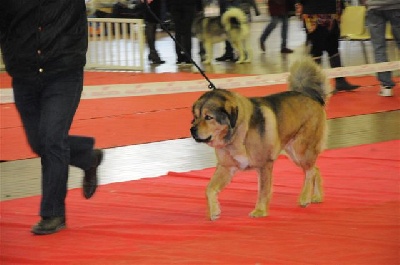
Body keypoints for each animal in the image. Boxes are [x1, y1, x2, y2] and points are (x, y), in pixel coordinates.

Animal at [191, 57, 332, 221]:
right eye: (195, 117)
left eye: (208, 117)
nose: (192, 130)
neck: (239, 132)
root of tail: (312, 96)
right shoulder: (226, 167)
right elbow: (209, 188)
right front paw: (214, 211)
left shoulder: (264, 165)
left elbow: (263, 191)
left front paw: (259, 211)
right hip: (294, 152)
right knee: (315, 169)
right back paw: (316, 197)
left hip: (301, 150)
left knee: (309, 172)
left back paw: (304, 198)